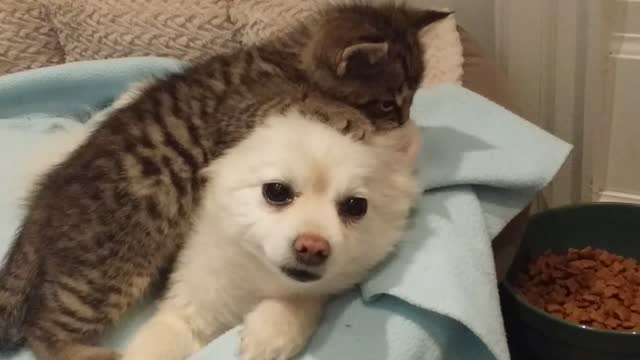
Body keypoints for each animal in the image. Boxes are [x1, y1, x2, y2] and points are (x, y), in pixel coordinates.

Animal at [122, 110, 422, 360]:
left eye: (355, 206)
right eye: (276, 191)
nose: (313, 247)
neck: (259, 279)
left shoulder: (318, 289)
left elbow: (307, 297)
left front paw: (274, 329)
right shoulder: (187, 314)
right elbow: (155, 346)